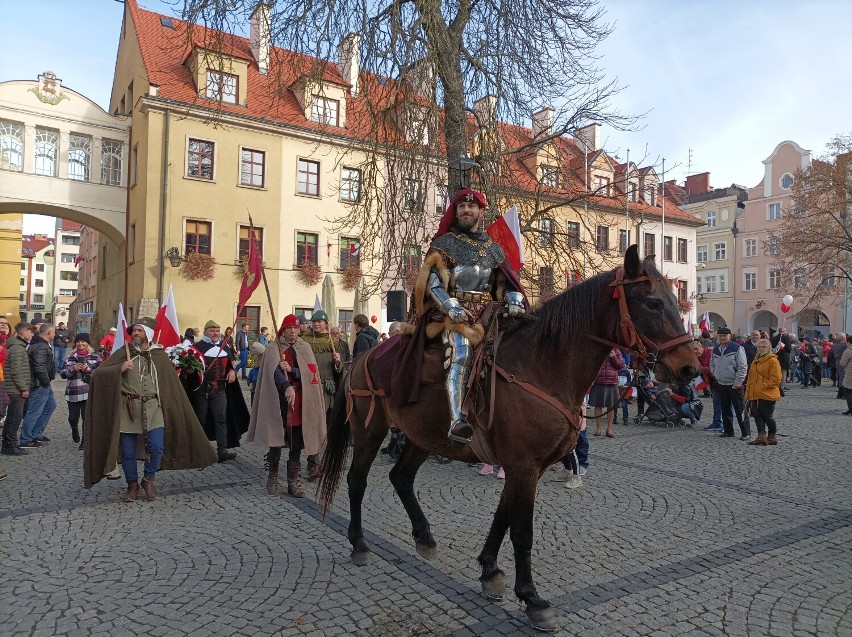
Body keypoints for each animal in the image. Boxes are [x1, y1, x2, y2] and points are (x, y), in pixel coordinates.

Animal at [320, 246, 700, 628]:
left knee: (400, 477)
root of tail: (361, 358)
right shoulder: (524, 466)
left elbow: (502, 517)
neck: (541, 367)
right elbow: (521, 531)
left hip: (421, 437)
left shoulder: (525, 467)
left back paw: (424, 537)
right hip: (370, 431)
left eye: (674, 299)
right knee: (357, 481)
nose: (690, 368)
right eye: (652, 303)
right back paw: (359, 544)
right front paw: (531, 597)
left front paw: (489, 571)